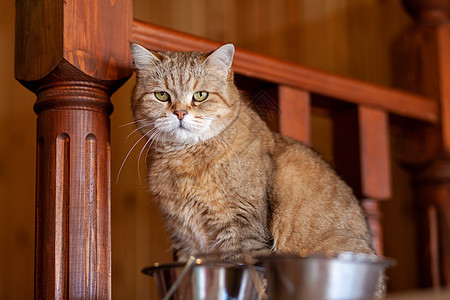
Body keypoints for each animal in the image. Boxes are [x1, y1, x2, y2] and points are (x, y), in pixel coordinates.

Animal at [130, 42, 384, 288]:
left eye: (200, 95)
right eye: (162, 95)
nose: (180, 113)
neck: (185, 159)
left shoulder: (242, 231)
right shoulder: (183, 239)